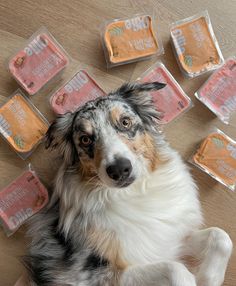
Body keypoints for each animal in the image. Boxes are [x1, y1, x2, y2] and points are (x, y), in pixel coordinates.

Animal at [24, 81, 232, 284]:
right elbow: (176, 270)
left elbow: (221, 237)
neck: (136, 192)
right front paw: (196, 278)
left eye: (125, 122)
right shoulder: (93, 276)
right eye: (85, 139)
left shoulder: (171, 238)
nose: (119, 169)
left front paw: (208, 278)